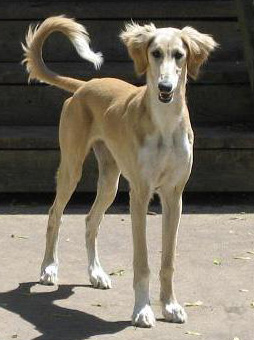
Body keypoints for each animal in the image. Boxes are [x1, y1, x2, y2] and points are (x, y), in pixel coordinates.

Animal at [22, 15, 216, 326]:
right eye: (155, 53)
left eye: (179, 55)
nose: (165, 88)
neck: (165, 124)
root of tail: (85, 85)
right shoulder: (140, 194)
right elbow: (142, 262)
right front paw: (142, 310)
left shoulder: (174, 196)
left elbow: (168, 261)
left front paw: (170, 306)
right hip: (72, 168)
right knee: (54, 215)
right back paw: (49, 268)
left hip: (110, 181)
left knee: (91, 220)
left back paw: (96, 273)